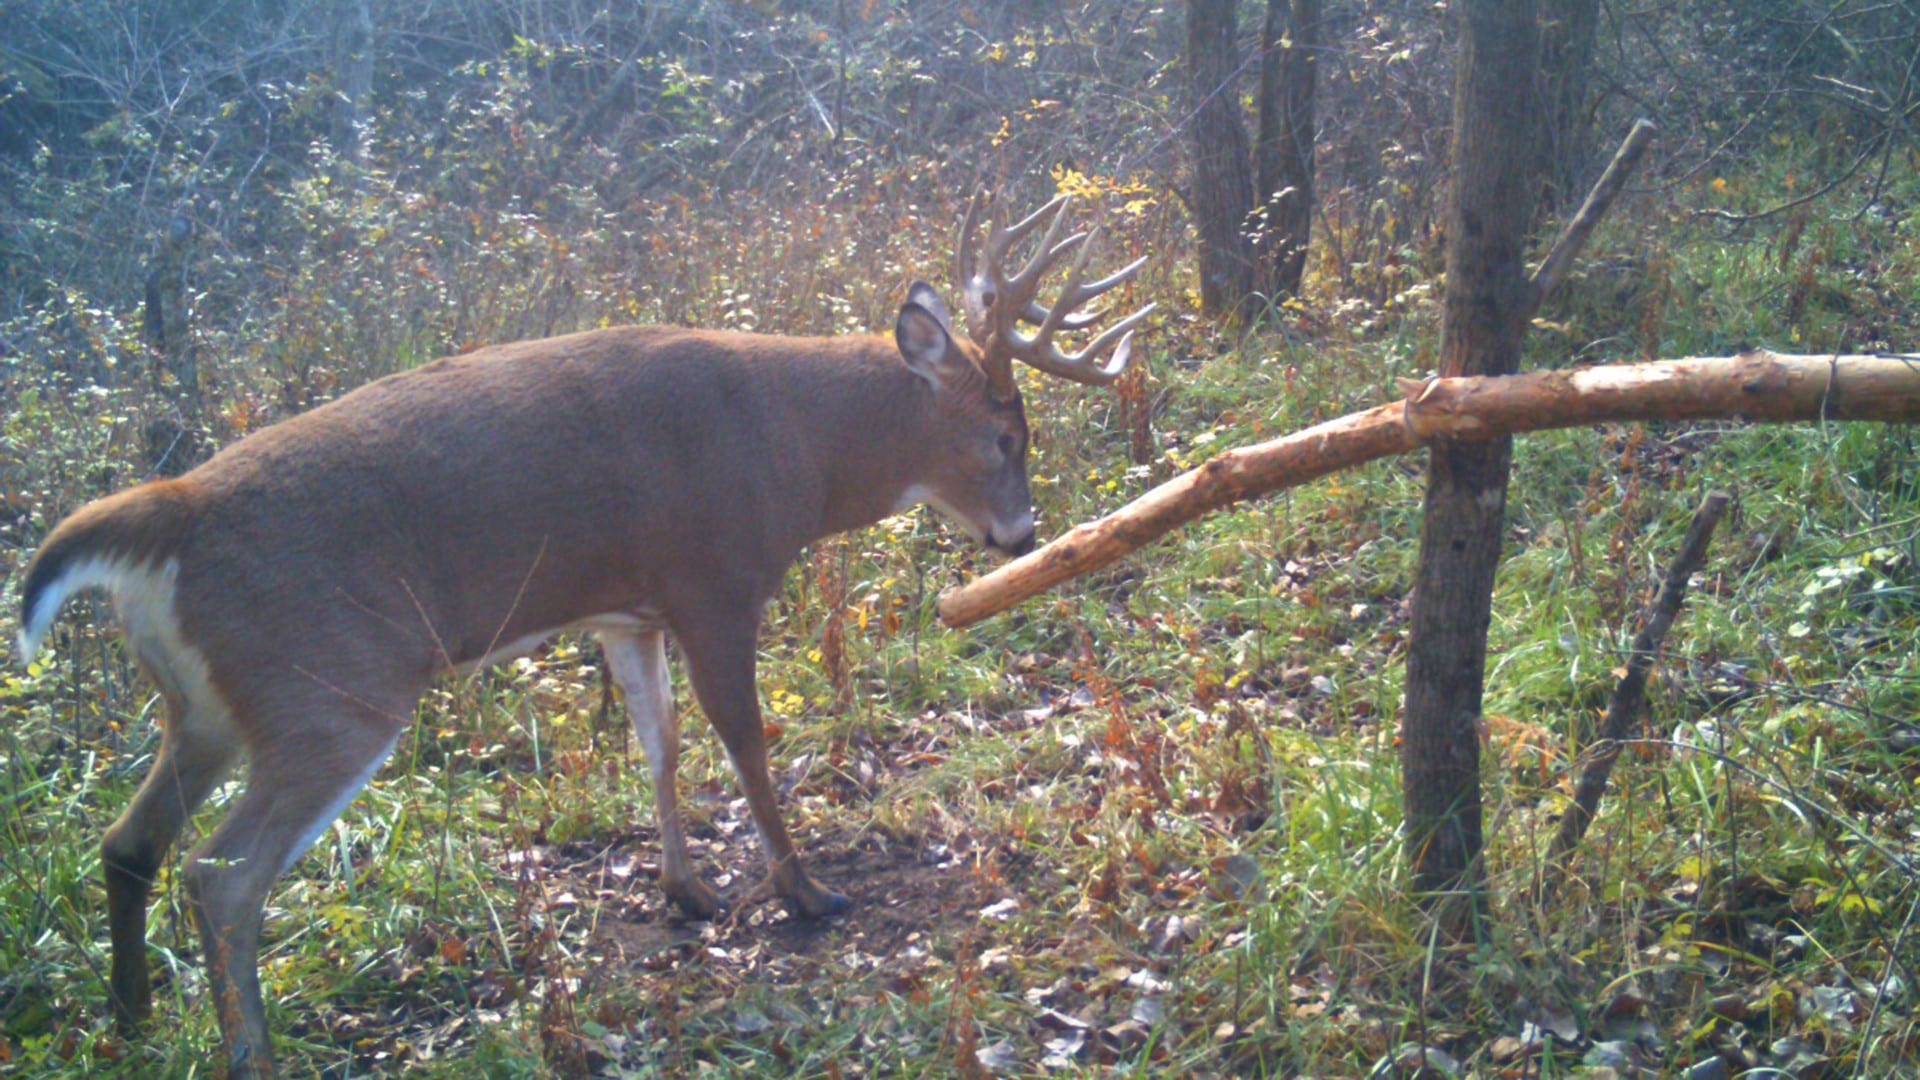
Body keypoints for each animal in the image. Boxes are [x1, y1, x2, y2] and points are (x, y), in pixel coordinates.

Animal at [13, 193, 1152, 1077]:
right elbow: (743, 740)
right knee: (221, 876)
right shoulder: (714, 579)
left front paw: (690, 891)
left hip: (206, 705)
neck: (798, 451)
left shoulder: (626, 608)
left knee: (128, 842)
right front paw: (804, 889)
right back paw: (248, 1053)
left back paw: (131, 1018)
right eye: (1003, 436)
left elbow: (660, 744)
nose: (1026, 534)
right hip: (327, 688)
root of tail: (162, 519)